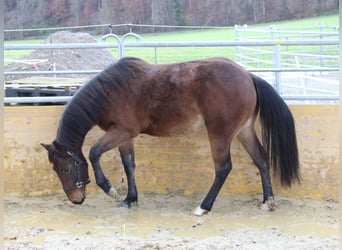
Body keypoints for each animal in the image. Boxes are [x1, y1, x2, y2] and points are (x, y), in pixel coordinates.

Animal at [42, 56, 300, 215]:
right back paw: (268, 201)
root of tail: (248, 76)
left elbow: (94, 152)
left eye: (66, 169)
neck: (109, 92)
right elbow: (129, 166)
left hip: (220, 134)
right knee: (261, 159)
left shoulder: (122, 132)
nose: (76, 199)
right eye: (55, 170)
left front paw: (110, 189)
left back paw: (203, 207)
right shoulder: (125, 137)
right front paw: (130, 199)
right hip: (244, 130)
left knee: (223, 168)